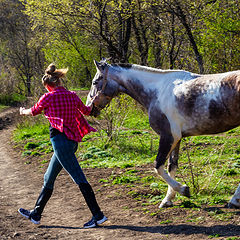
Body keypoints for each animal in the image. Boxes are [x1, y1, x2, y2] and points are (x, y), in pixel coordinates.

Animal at [86, 58, 240, 208]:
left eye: (95, 82)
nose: (89, 106)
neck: (157, 91)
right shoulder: (177, 138)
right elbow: (172, 167)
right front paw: (168, 199)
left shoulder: (168, 136)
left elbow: (158, 166)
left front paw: (184, 190)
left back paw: (234, 201)